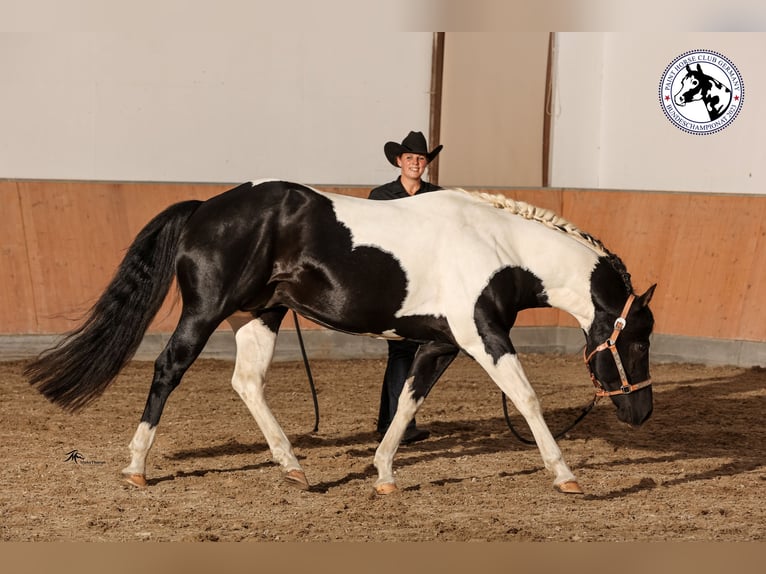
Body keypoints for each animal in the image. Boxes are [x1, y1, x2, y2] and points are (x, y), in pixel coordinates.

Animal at [25, 179, 656, 495]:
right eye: (638, 340)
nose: (642, 412)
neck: (499, 246)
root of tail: (206, 207)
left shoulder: (440, 344)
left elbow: (406, 403)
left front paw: (383, 474)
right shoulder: (483, 337)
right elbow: (526, 398)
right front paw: (566, 475)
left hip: (260, 315)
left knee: (247, 382)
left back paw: (293, 466)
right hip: (205, 312)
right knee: (168, 369)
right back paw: (136, 466)